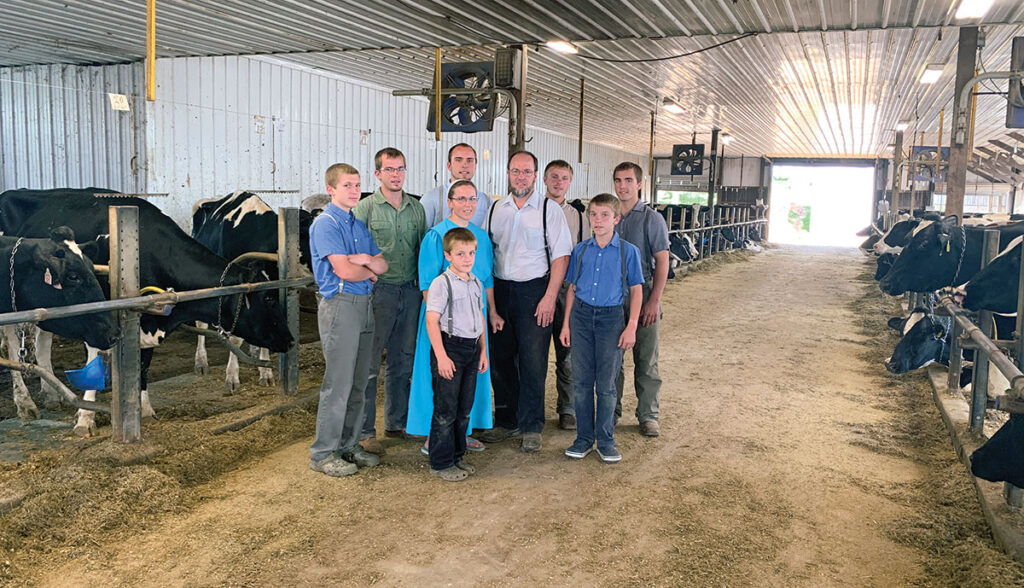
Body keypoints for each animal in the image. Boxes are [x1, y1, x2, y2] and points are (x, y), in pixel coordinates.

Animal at [191, 190, 311, 391]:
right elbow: (234, 338)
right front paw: (232, 377)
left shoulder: (272, 290)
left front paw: (266, 373)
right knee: (201, 324)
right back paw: (201, 362)